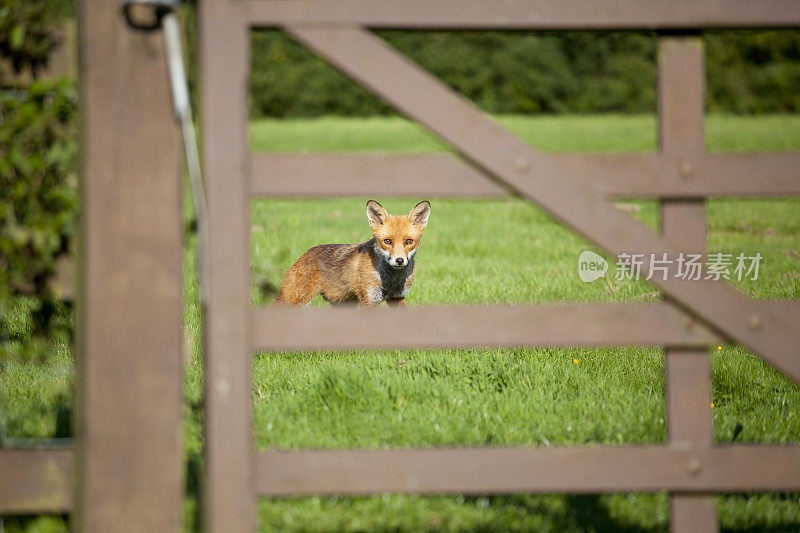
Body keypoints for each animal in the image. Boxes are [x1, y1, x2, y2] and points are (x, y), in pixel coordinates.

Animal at [274, 201, 432, 308]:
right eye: (387, 241)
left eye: (409, 241)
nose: (399, 260)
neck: (391, 280)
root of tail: (306, 252)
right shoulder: (368, 300)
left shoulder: (397, 297)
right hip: (292, 299)